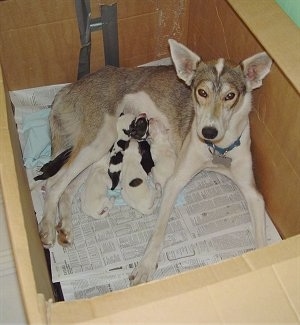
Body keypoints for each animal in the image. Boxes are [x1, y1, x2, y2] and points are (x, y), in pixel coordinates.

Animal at [38, 39, 272, 284]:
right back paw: (47, 227)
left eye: (230, 96)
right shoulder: (174, 182)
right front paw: (145, 266)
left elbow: (262, 241)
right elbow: (159, 232)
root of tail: (71, 86)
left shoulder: (254, 195)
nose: (208, 131)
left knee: (67, 188)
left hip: (97, 150)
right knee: (53, 184)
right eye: (202, 92)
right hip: (98, 141)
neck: (217, 149)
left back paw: (65, 227)